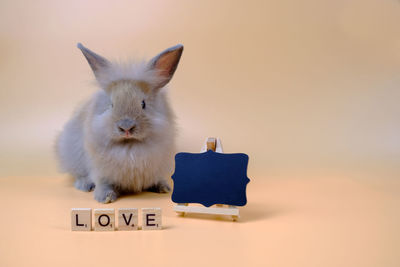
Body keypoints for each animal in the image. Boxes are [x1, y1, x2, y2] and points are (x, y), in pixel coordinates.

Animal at [55, 43, 184, 203]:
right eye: (111, 104)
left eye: (143, 104)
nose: (126, 127)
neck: (129, 146)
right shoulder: (100, 171)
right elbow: (103, 183)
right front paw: (105, 198)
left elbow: (156, 178)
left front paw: (163, 187)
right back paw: (84, 185)